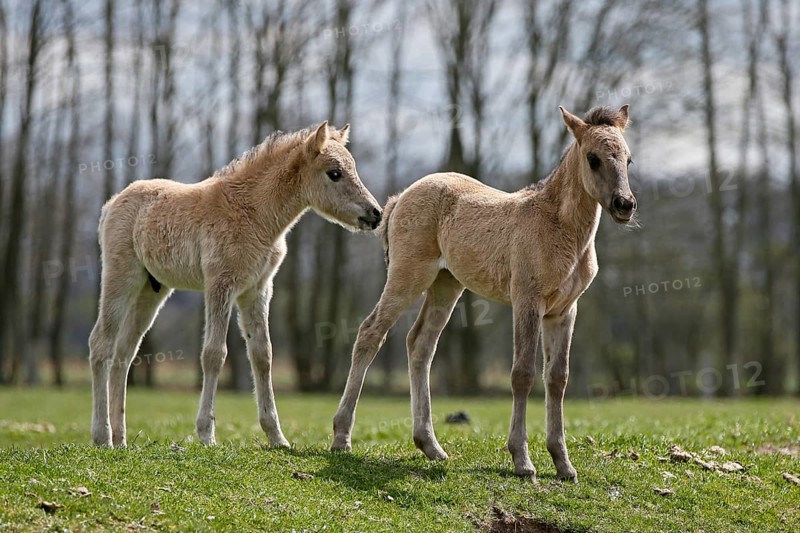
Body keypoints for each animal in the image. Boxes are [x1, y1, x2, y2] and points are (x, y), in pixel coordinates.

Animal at [89, 122, 382, 448]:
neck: (254, 213)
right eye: (334, 173)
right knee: (101, 344)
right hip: (121, 278)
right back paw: (102, 436)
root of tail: (111, 203)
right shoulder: (220, 285)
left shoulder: (257, 290)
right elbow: (214, 354)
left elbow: (263, 355)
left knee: (124, 354)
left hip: (151, 291)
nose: (376, 213)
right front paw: (206, 434)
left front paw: (277, 437)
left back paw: (120, 439)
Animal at [331, 106, 636, 481]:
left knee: (420, 344)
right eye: (593, 159)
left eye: (628, 159)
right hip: (408, 276)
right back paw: (342, 438)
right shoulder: (526, 302)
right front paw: (522, 461)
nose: (625, 205)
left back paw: (430, 446)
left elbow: (557, 378)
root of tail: (400, 196)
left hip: (446, 285)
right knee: (370, 332)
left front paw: (563, 464)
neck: (558, 227)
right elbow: (522, 374)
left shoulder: (564, 311)